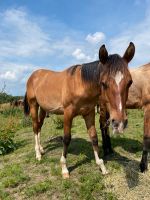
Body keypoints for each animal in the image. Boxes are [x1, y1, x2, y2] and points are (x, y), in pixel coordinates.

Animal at [23, 42, 135, 178]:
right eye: (103, 83)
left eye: (130, 82)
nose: (119, 123)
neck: (80, 84)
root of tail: (33, 76)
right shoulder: (67, 113)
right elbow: (66, 138)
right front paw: (64, 169)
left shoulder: (89, 113)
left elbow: (94, 137)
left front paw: (101, 166)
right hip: (33, 105)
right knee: (35, 127)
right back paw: (38, 154)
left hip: (43, 109)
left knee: (39, 126)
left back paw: (41, 149)